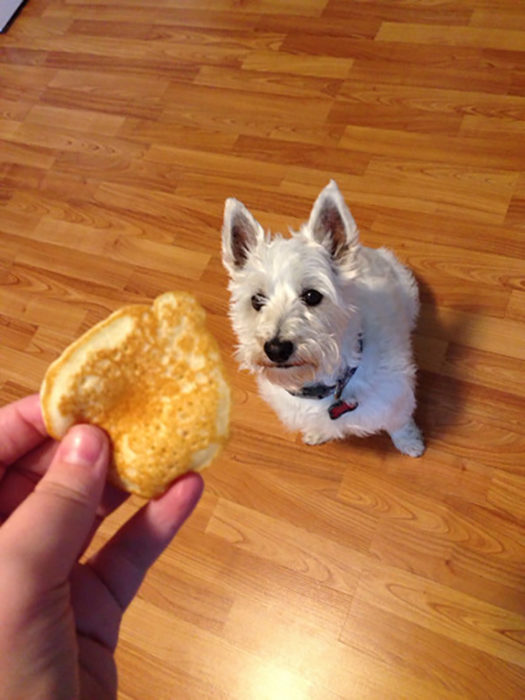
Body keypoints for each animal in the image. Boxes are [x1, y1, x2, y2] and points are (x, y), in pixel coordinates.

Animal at [222, 178, 426, 456]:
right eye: (257, 300)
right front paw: (317, 433)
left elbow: (400, 424)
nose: (276, 349)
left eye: (312, 296)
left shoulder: (395, 397)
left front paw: (411, 444)